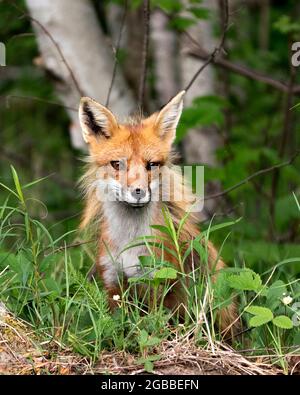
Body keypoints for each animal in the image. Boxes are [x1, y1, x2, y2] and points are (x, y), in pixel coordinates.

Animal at [78, 91, 238, 332]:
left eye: (151, 165)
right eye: (117, 164)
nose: (138, 191)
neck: (130, 243)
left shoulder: (158, 282)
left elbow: (154, 327)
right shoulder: (112, 281)